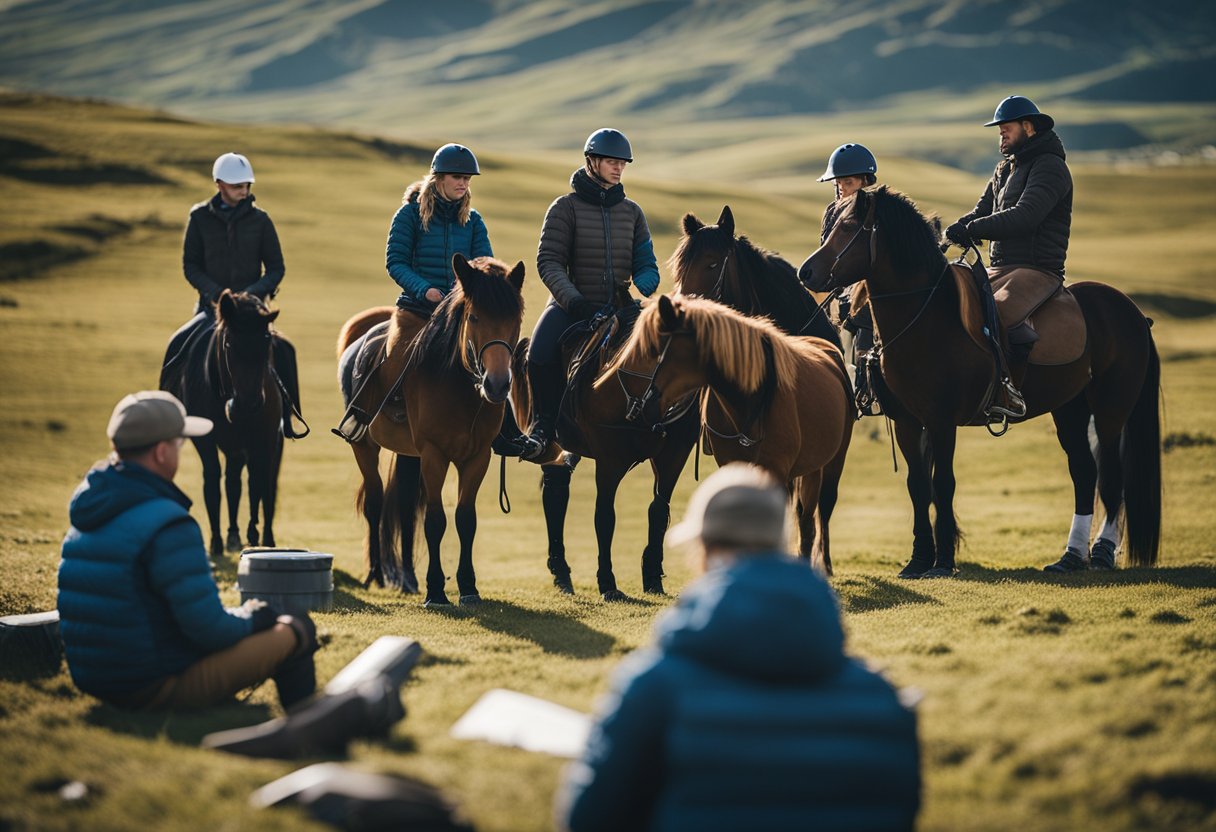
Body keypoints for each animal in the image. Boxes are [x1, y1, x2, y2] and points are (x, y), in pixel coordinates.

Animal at [160, 290, 288, 559]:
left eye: (267, 343)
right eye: (228, 343)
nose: (247, 405)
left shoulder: (263, 440)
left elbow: (258, 484)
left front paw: (256, 536)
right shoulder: (205, 441)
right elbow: (213, 484)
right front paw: (216, 543)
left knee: (261, 484)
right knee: (231, 482)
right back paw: (230, 537)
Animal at [335, 253, 525, 603]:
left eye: (514, 320)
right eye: (474, 317)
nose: (496, 385)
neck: (458, 386)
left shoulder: (477, 458)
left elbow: (465, 519)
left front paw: (468, 587)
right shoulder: (434, 455)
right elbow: (436, 520)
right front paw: (436, 589)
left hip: (409, 455)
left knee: (406, 510)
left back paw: (408, 578)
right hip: (365, 446)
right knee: (374, 502)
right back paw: (377, 573)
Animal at [598, 295, 856, 574]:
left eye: (654, 349)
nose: (637, 406)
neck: (751, 402)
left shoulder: (776, 470)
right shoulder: (735, 466)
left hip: (830, 464)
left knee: (816, 515)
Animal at [797, 187, 1157, 578]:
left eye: (848, 227)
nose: (806, 271)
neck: (926, 318)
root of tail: (1132, 311)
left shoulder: (941, 422)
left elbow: (943, 484)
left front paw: (942, 562)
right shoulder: (907, 421)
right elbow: (918, 486)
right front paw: (918, 559)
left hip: (1110, 409)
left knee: (1111, 477)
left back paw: (1103, 552)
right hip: (1069, 408)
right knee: (1084, 472)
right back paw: (1071, 557)